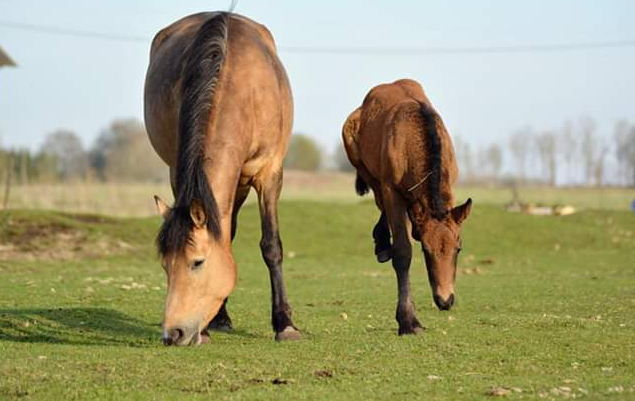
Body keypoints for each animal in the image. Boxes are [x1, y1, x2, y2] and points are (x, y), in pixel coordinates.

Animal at [144, 11, 299, 346]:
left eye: (197, 262)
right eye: (165, 265)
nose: (172, 334)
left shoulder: (269, 174)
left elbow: (272, 245)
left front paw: (285, 324)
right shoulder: (179, 171)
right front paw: (207, 327)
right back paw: (220, 319)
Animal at [342, 79, 472, 335]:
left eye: (458, 249)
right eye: (426, 251)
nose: (445, 300)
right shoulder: (391, 190)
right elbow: (402, 251)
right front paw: (409, 321)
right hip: (362, 163)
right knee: (378, 197)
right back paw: (383, 243)